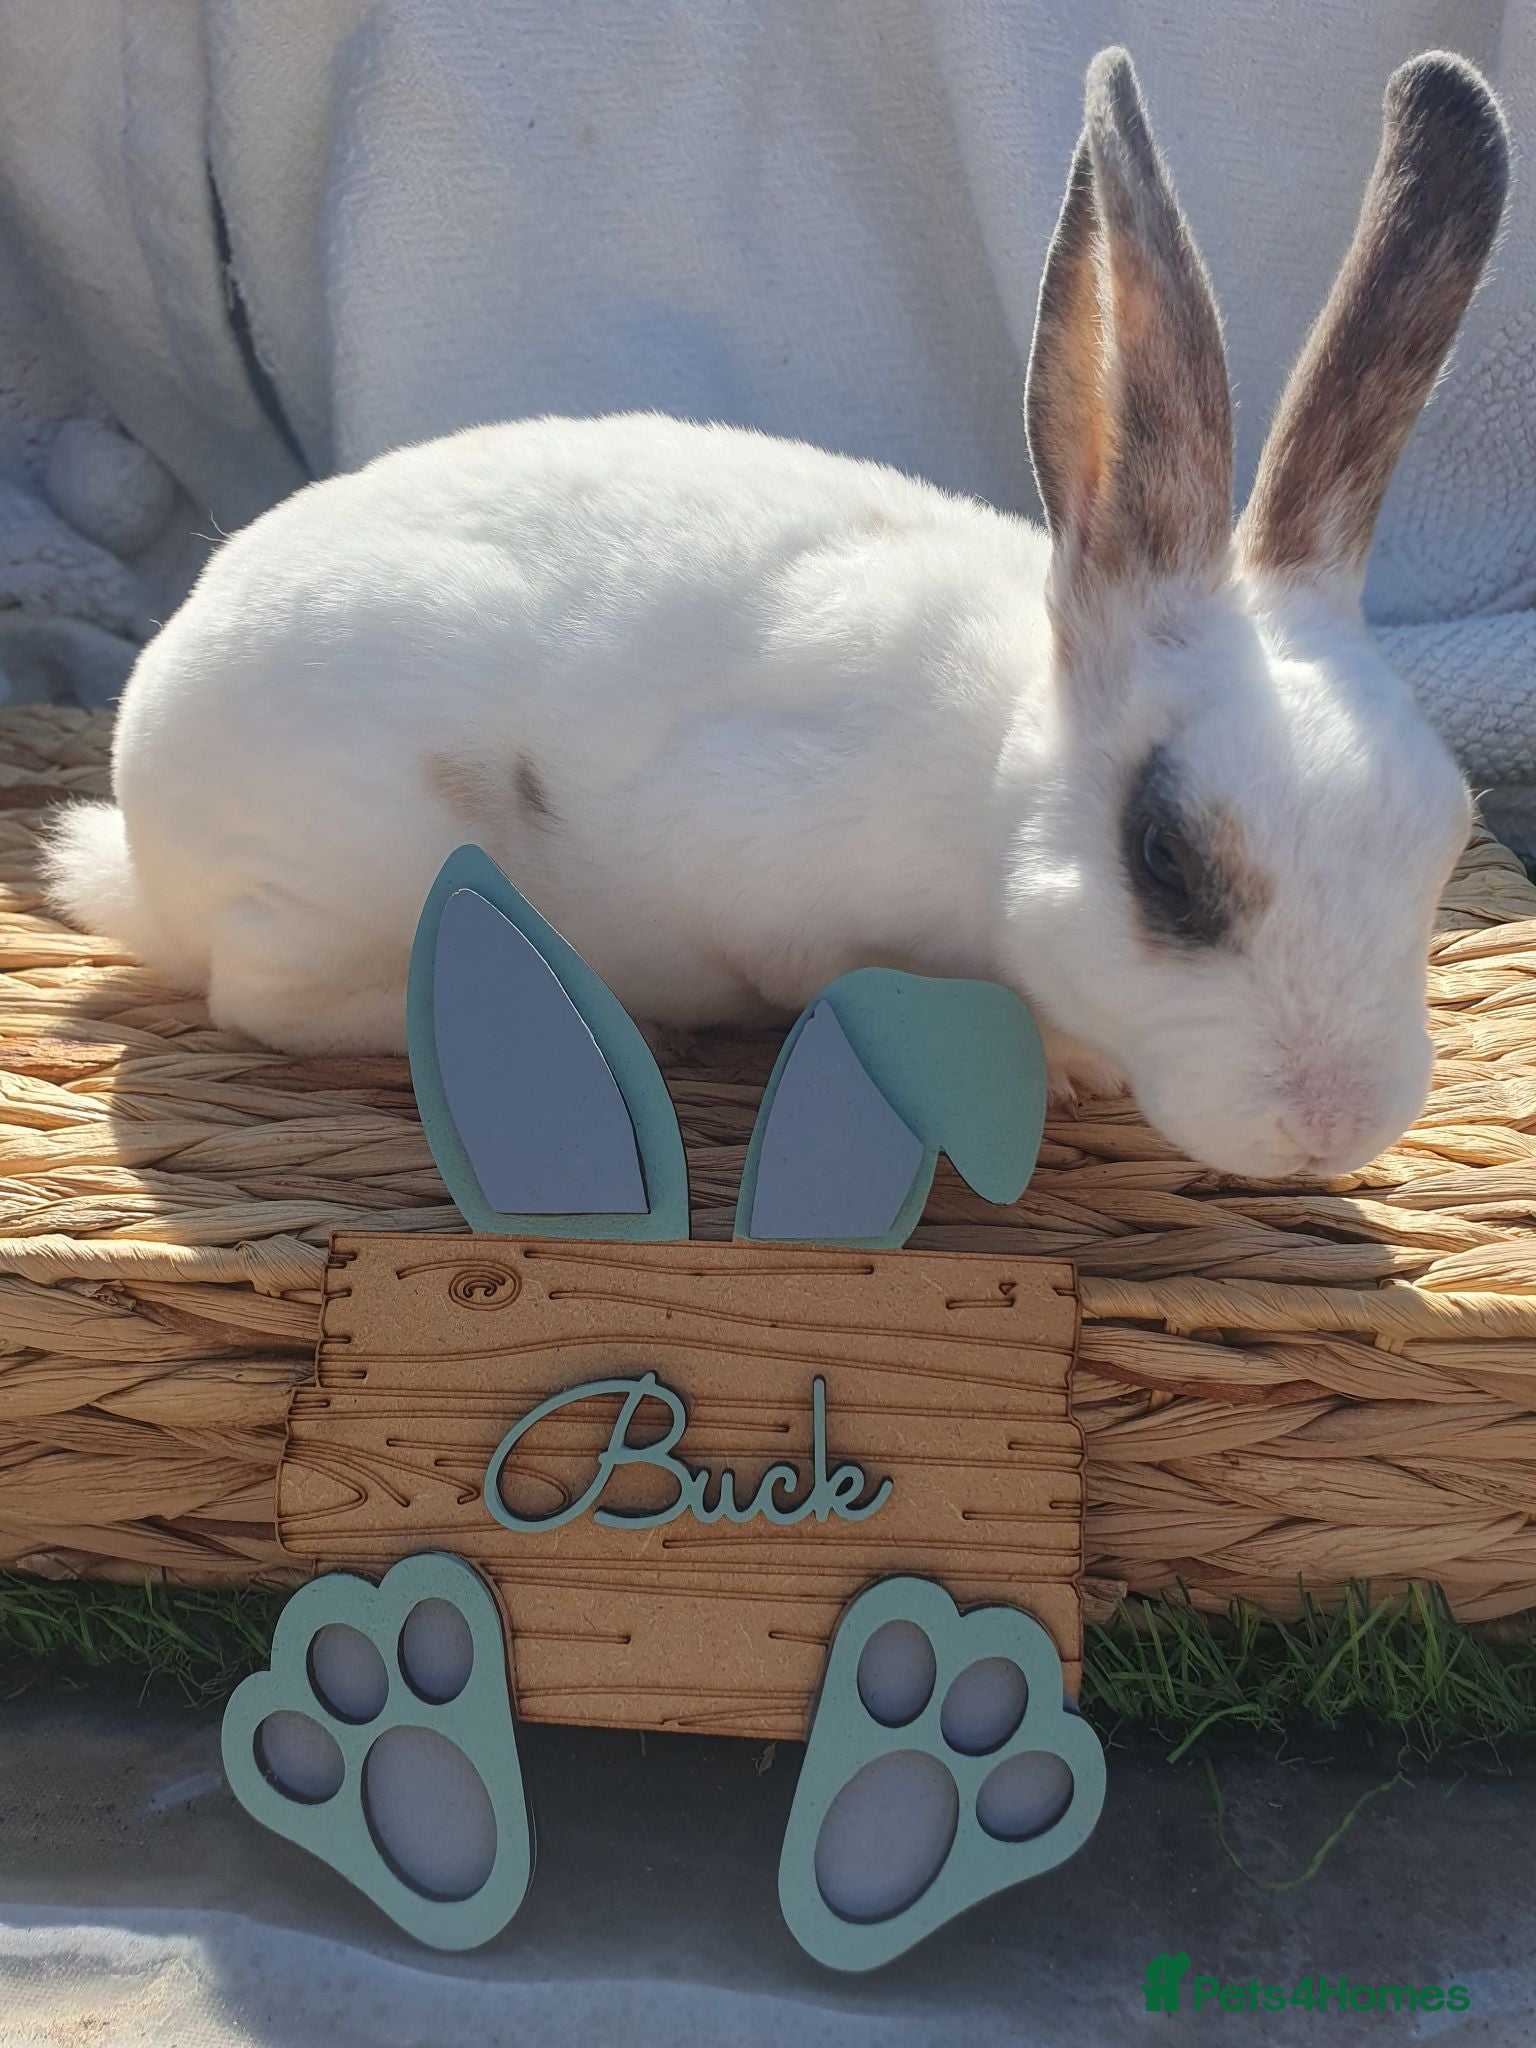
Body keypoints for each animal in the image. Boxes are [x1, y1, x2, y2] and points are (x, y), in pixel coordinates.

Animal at [46, 47, 1508, 1181]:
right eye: (1164, 859)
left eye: (1446, 838)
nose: (1336, 1123)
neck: (989, 782)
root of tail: (136, 836)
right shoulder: (761, 866)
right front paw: (1061, 1061)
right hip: (327, 882)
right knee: (261, 997)